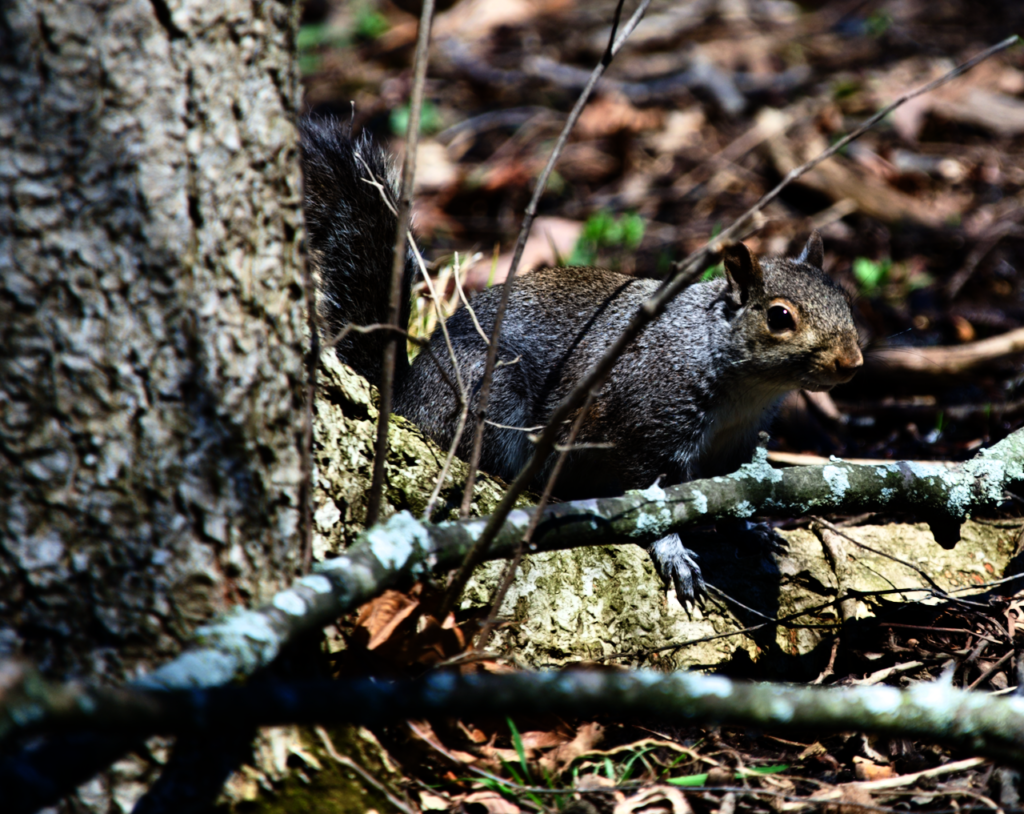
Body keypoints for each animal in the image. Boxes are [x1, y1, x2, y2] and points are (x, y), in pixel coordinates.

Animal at [303, 117, 864, 606]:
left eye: (843, 296)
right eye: (779, 316)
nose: (852, 362)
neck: (740, 387)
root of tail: (405, 394)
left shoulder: (736, 448)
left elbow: (734, 492)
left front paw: (749, 526)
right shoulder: (644, 430)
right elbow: (650, 497)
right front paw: (675, 553)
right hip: (486, 399)